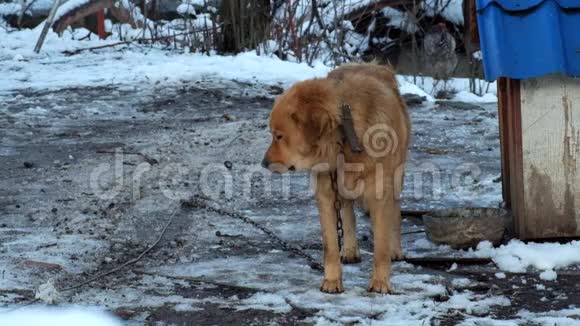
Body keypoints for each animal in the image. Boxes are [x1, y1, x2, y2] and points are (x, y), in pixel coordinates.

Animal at [260, 61, 410, 292]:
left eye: (279, 136)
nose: (264, 163)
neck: (346, 136)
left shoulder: (380, 193)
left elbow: (381, 247)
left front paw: (380, 282)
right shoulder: (327, 194)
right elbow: (330, 245)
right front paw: (331, 280)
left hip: (396, 178)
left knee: (395, 211)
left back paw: (395, 248)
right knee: (347, 211)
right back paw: (349, 249)